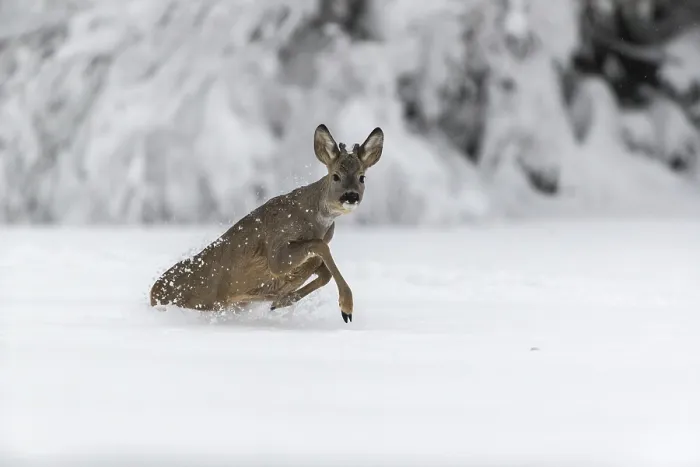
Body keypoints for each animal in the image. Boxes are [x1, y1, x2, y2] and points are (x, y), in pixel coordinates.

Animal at [149, 124, 384, 323]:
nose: (351, 196)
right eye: (335, 176)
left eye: (362, 177)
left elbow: (324, 270)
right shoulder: (277, 248)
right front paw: (346, 307)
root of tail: (152, 294)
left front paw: (279, 301)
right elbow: (319, 247)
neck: (312, 218)